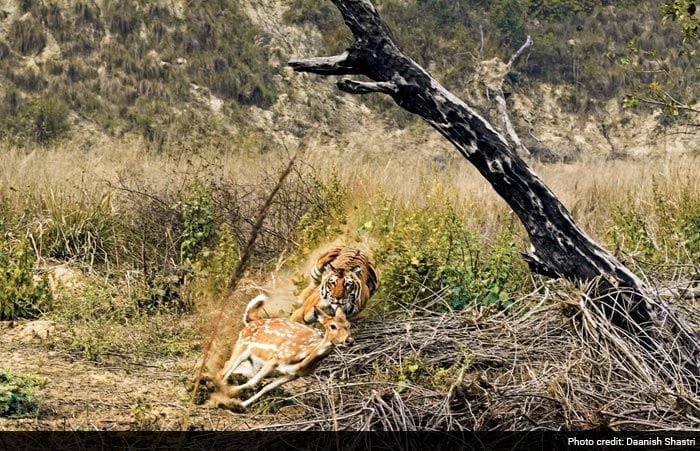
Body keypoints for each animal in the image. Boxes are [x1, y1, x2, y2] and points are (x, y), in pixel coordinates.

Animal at [215, 294, 356, 408]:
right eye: (332, 326)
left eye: (349, 325)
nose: (349, 340)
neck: (302, 359)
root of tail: (250, 322)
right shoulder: (275, 359)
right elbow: (253, 382)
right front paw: (228, 395)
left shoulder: (293, 375)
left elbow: (266, 388)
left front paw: (241, 404)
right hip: (242, 345)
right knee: (225, 369)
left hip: (252, 362)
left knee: (230, 368)